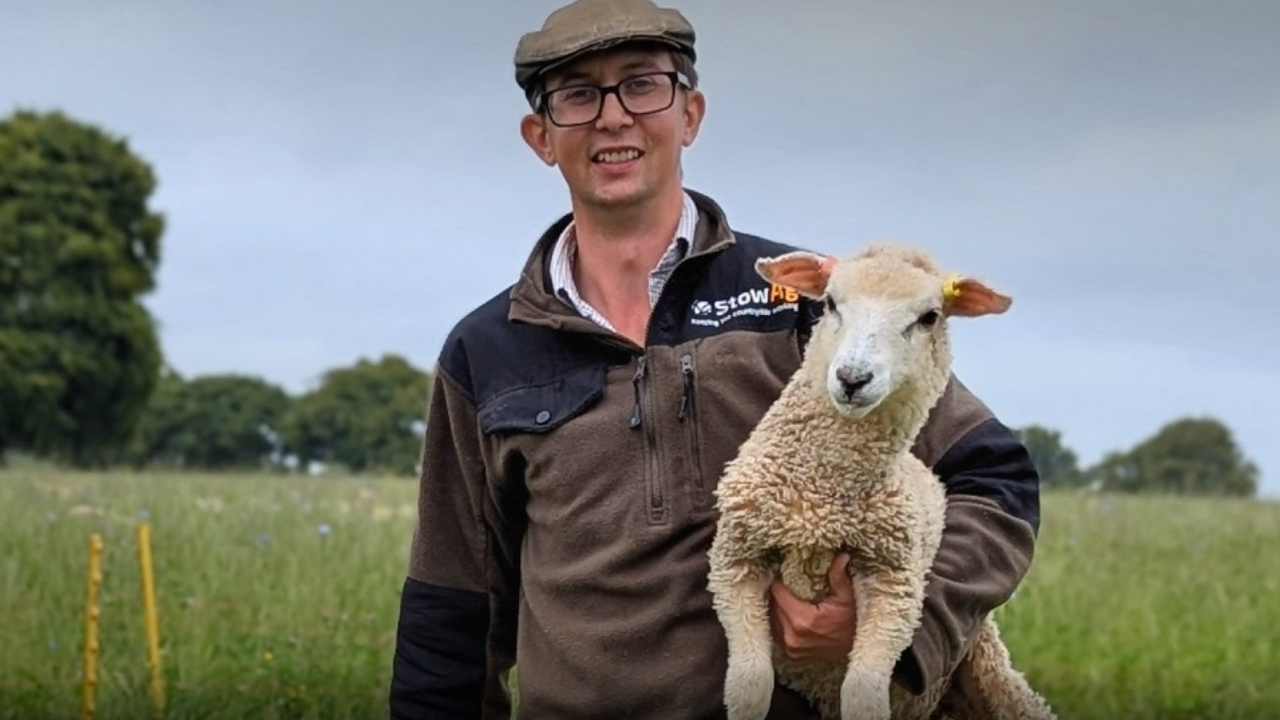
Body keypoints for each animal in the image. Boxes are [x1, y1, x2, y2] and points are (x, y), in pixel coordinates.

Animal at [706, 242, 1054, 717]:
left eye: (929, 317)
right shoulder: (736, 559)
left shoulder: (894, 584)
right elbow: (749, 685)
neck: (822, 496)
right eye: (831, 303)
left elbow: (864, 693)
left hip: (991, 667)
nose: (853, 378)